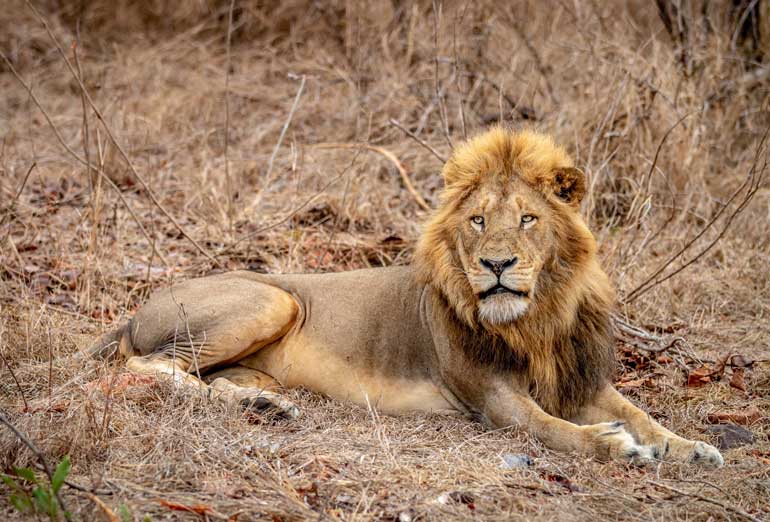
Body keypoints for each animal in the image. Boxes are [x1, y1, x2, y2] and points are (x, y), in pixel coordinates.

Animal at [90, 128, 720, 466]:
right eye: (477, 220)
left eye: (528, 219)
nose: (496, 264)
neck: (536, 318)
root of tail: (134, 311)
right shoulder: (491, 396)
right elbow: (549, 429)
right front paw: (616, 447)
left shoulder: (579, 378)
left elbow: (640, 413)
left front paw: (691, 447)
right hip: (275, 301)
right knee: (145, 366)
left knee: (210, 380)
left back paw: (265, 407)